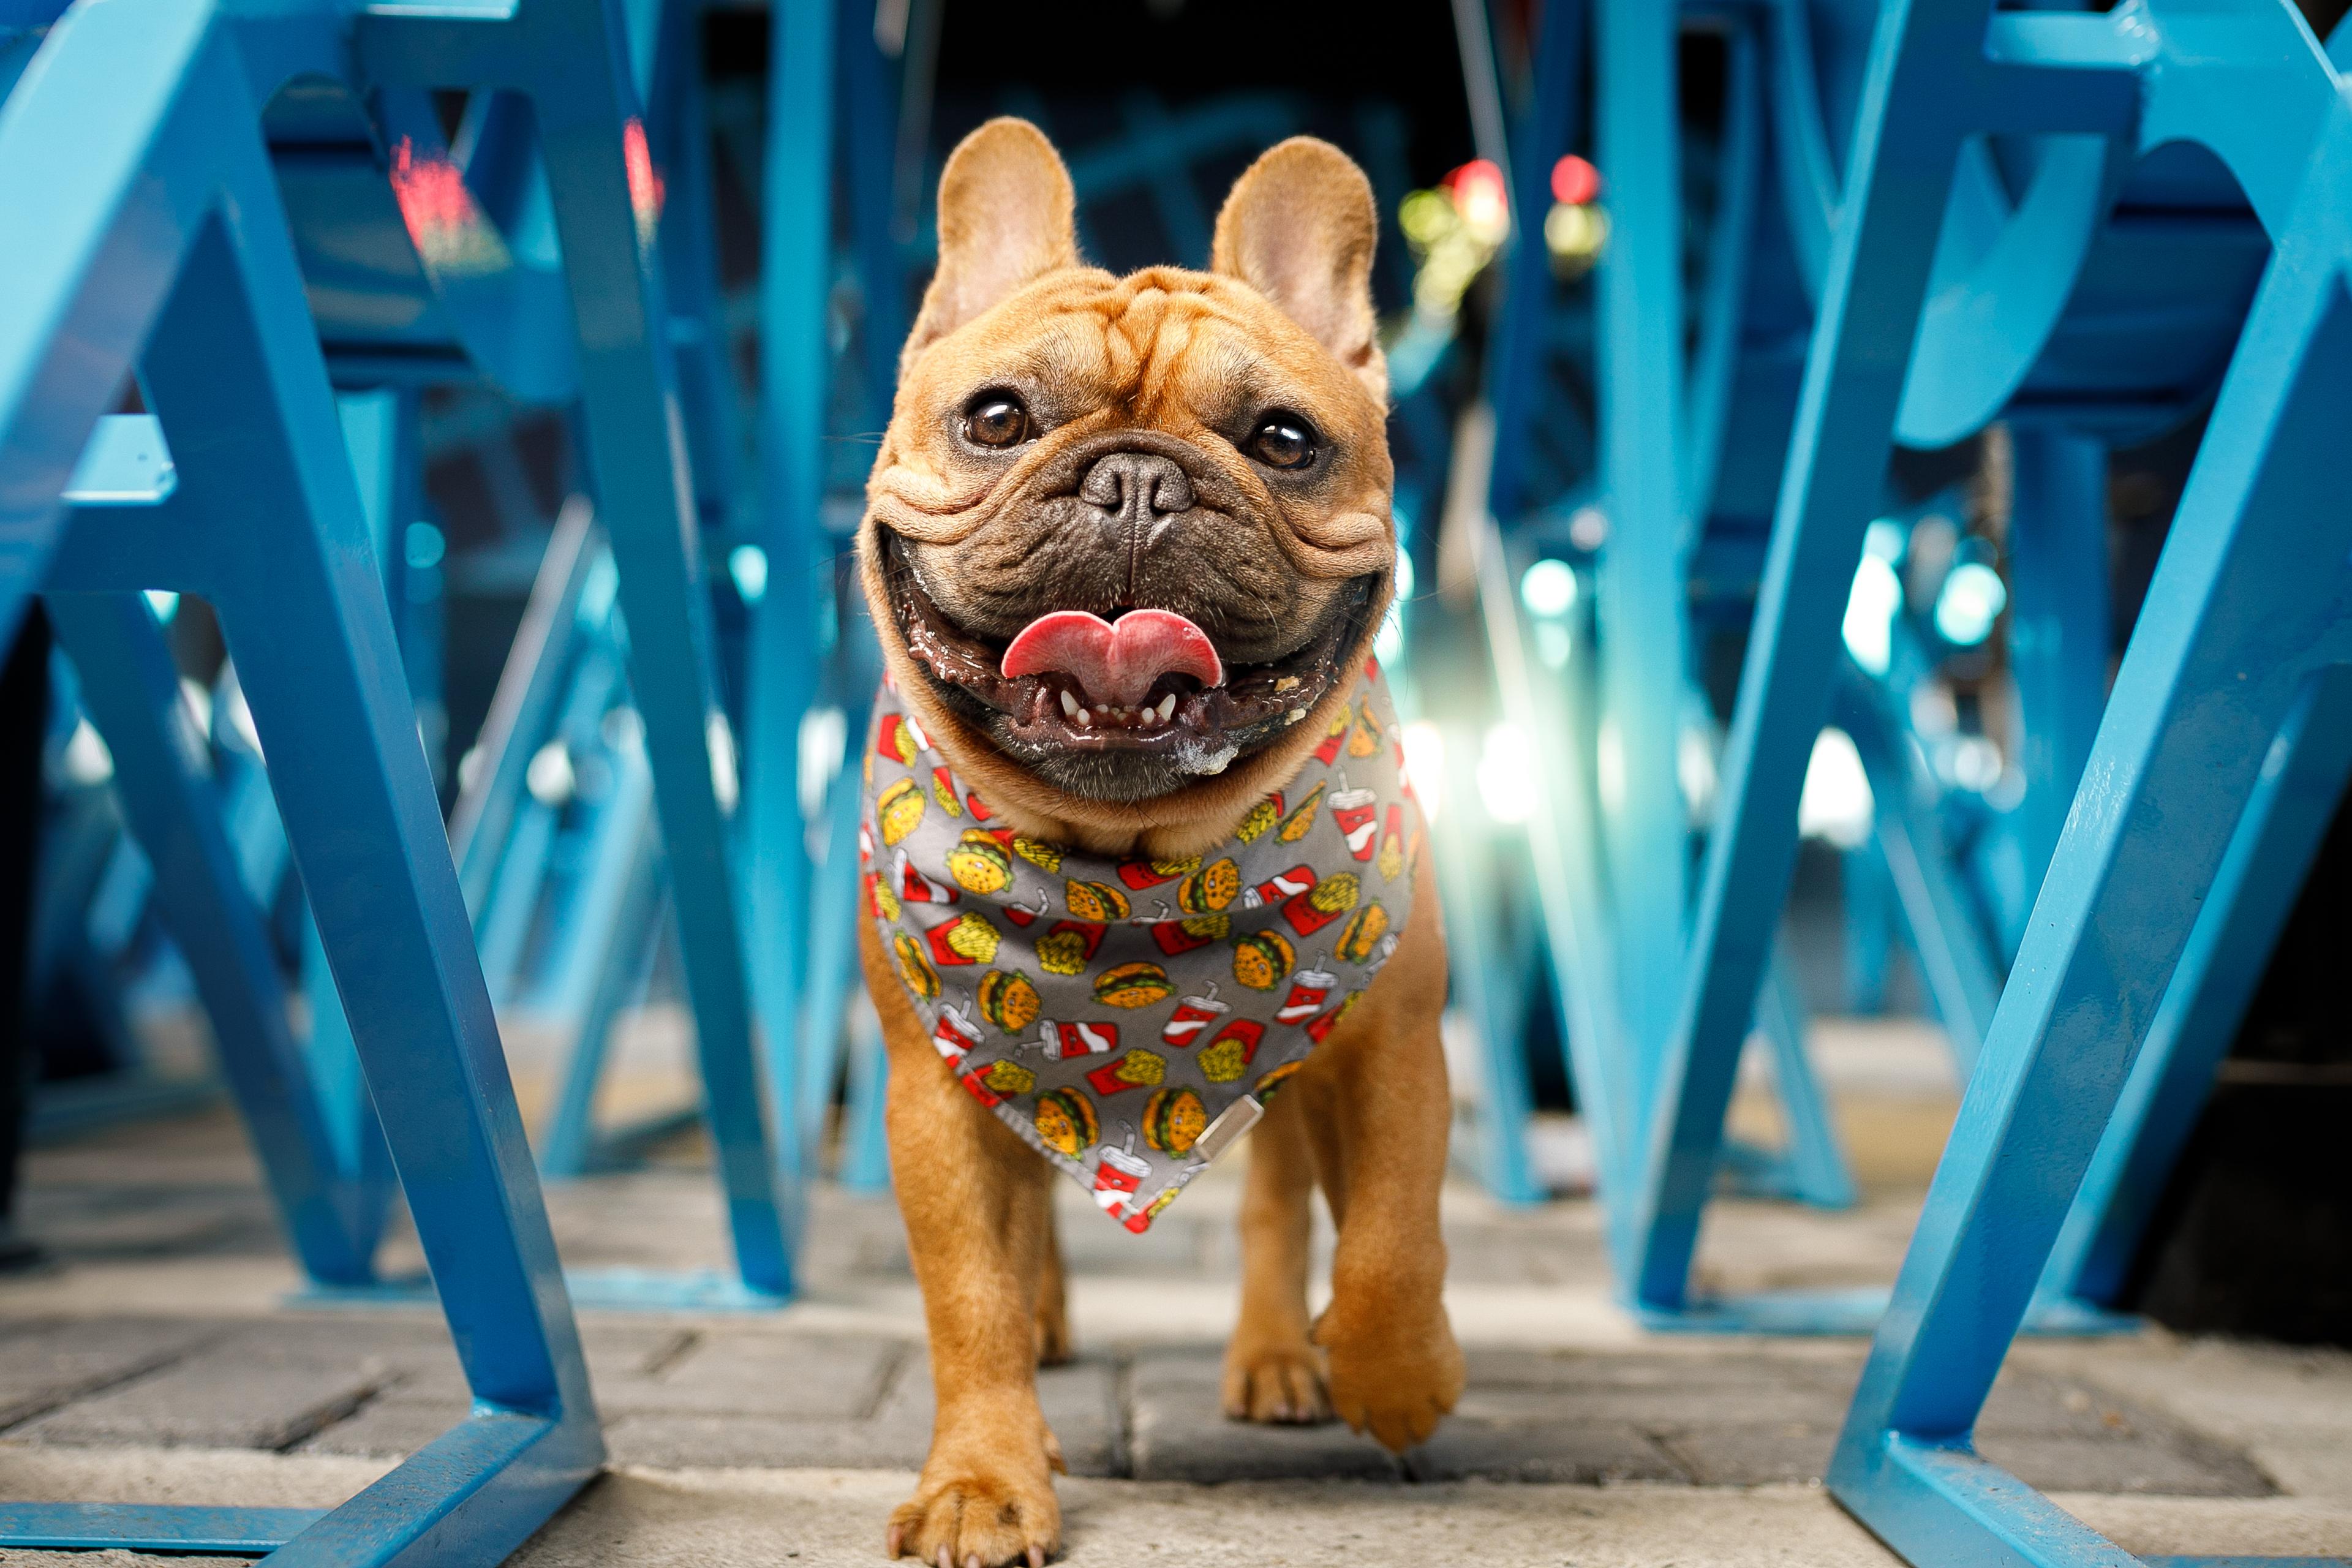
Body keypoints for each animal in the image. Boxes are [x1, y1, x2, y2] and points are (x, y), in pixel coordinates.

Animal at [856, 116, 1458, 1561]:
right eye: (997, 418)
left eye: (1285, 440)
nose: (1137, 478)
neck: (1125, 872)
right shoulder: (932, 1090)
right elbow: (969, 1289)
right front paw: (982, 1478)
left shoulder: (1392, 1040)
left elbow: (1390, 1238)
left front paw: (1401, 1378)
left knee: (1279, 1208)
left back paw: (1280, 1362)